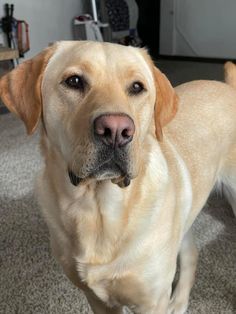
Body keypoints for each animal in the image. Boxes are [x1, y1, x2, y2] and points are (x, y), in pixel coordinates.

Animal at [0, 41, 236, 314]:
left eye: (137, 87)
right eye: (74, 81)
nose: (116, 130)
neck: (98, 211)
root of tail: (229, 87)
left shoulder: (151, 302)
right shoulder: (97, 300)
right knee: (190, 253)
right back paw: (178, 303)